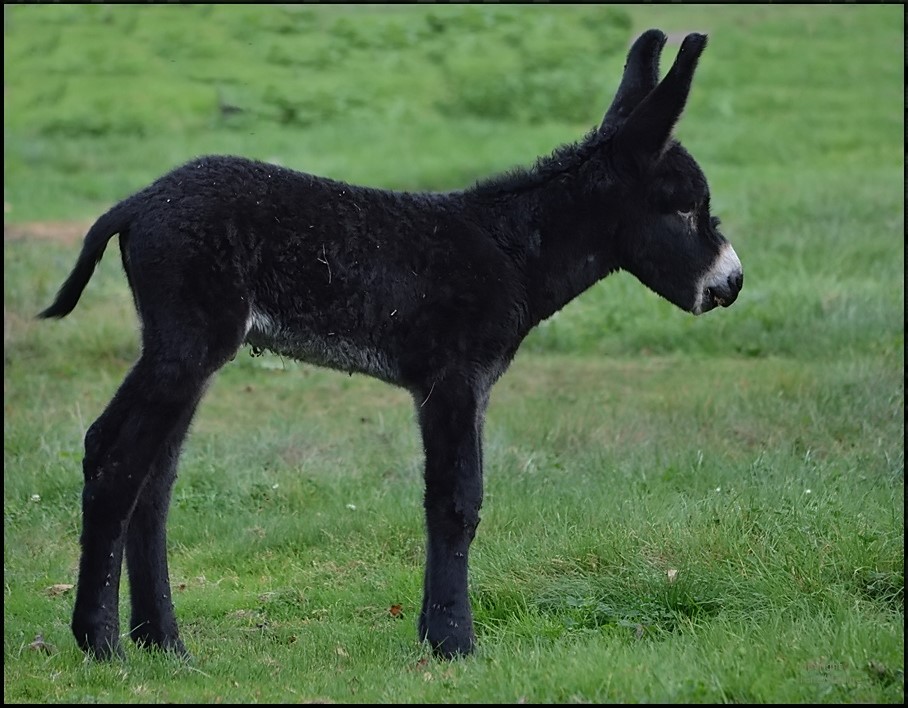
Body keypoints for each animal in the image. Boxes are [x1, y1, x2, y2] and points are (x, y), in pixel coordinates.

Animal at [39, 27, 740, 660]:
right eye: (684, 207)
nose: (731, 282)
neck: (513, 249)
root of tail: (140, 202)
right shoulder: (454, 379)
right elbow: (457, 502)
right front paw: (454, 643)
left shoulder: (458, 386)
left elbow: (450, 499)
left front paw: (435, 635)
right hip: (188, 341)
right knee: (114, 456)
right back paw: (101, 644)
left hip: (187, 346)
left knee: (154, 478)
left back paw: (163, 643)